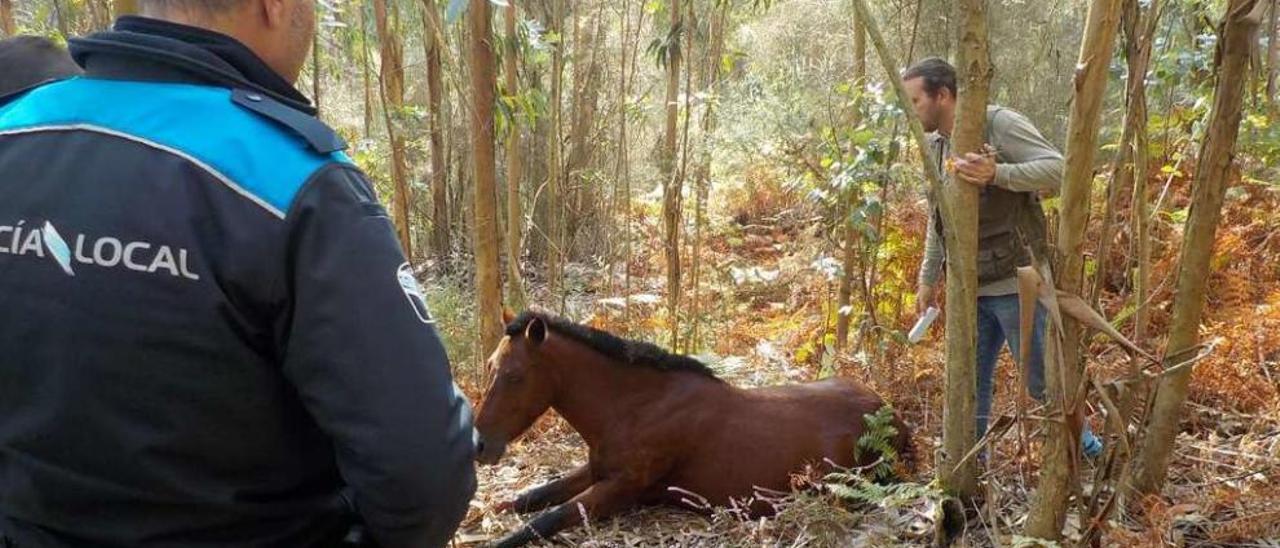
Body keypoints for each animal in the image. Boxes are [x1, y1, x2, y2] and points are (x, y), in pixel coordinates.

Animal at [476, 312, 916, 548]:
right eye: (491, 368)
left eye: (514, 376)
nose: (480, 445)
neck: (636, 406)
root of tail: (890, 414)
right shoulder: (597, 471)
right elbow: (529, 498)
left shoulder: (621, 489)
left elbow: (543, 520)